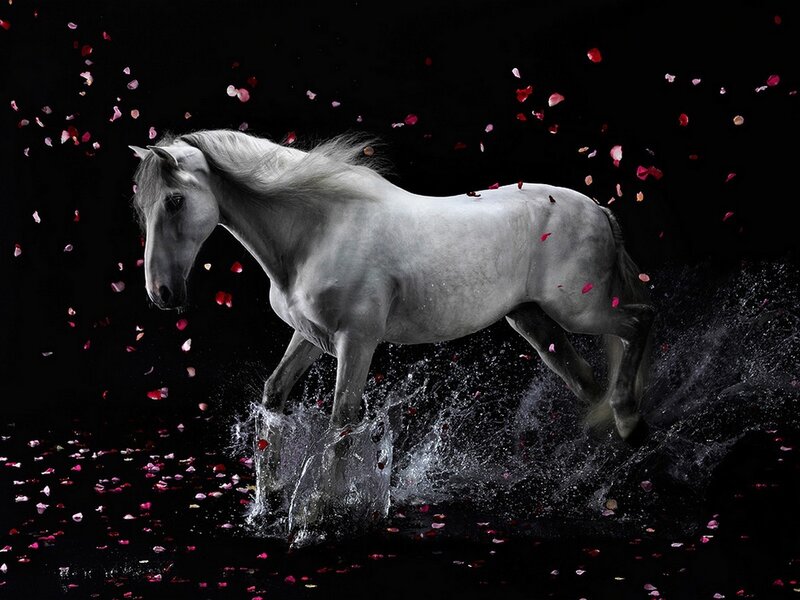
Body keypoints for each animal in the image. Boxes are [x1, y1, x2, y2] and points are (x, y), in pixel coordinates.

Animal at [129, 128, 654, 534]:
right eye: (143, 207)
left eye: (174, 201)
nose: (161, 293)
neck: (317, 229)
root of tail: (598, 208)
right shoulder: (310, 337)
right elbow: (274, 395)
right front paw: (269, 503)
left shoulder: (356, 340)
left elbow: (341, 420)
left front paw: (318, 512)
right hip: (533, 321)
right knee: (585, 381)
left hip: (580, 308)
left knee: (638, 321)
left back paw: (630, 423)